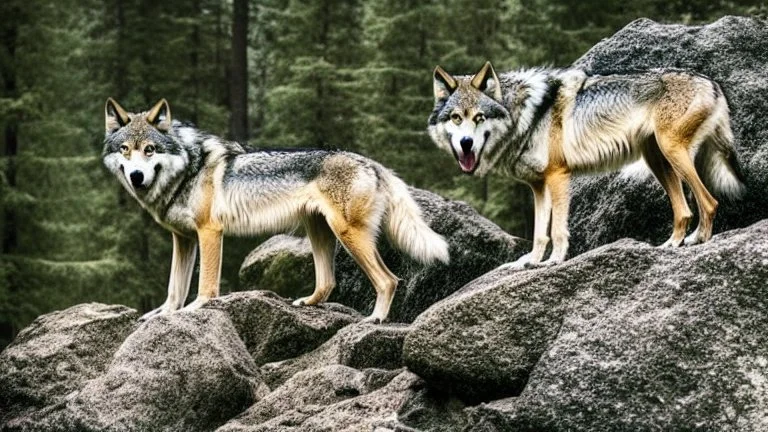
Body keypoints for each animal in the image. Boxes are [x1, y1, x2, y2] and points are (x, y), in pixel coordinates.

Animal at [103, 98, 450, 320]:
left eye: (150, 150)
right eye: (126, 150)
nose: (136, 176)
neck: (188, 168)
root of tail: (372, 163)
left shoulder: (209, 232)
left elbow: (206, 286)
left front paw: (195, 309)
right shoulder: (184, 238)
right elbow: (174, 288)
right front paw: (161, 315)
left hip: (348, 235)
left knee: (388, 280)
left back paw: (375, 319)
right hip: (319, 233)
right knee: (328, 283)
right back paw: (308, 303)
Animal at [426, 62, 744, 268]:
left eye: (479, 117)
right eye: (456, 118)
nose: (466, 143)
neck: (524, 116)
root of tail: (713, 83)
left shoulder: (558, 176)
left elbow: (557, 230)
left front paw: (554, 261)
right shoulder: (538, 187)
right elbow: (539, 233)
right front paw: (530, 262)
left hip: (672, 153)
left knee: (709, 201)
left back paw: (699, 240)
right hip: (657, 162)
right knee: (684, 211)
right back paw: (671, 245)